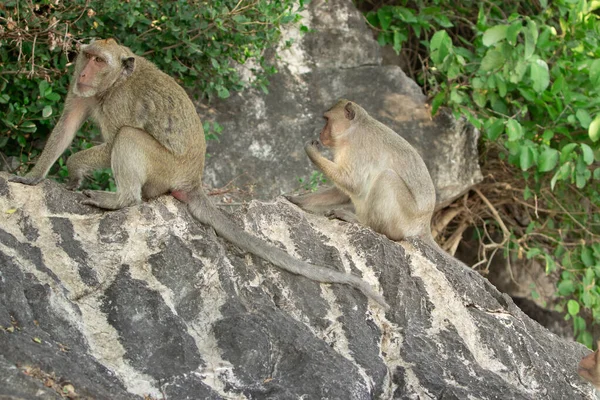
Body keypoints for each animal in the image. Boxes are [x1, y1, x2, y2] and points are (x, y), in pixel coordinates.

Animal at [10, 39, 390, 310]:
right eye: (87, 56)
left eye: (100, 61)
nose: (84, 73)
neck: (116, 82)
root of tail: (192, 181)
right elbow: (67, 125)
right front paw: (33, 176)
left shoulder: (118, 102)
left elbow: (114, 138)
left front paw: (74, 168)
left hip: (165, 170)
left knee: (129, 138)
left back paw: (120, 200)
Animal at [288, 99, 438, 250]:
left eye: (327, 120)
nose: (320, 132)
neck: (353, 129)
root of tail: (425, 224)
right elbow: (343, 191)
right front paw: (298, 200)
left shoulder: (357, 147)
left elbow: (353, 183)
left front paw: (311, 151)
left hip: (405, 220)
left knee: (387, 177)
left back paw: (363, 223)